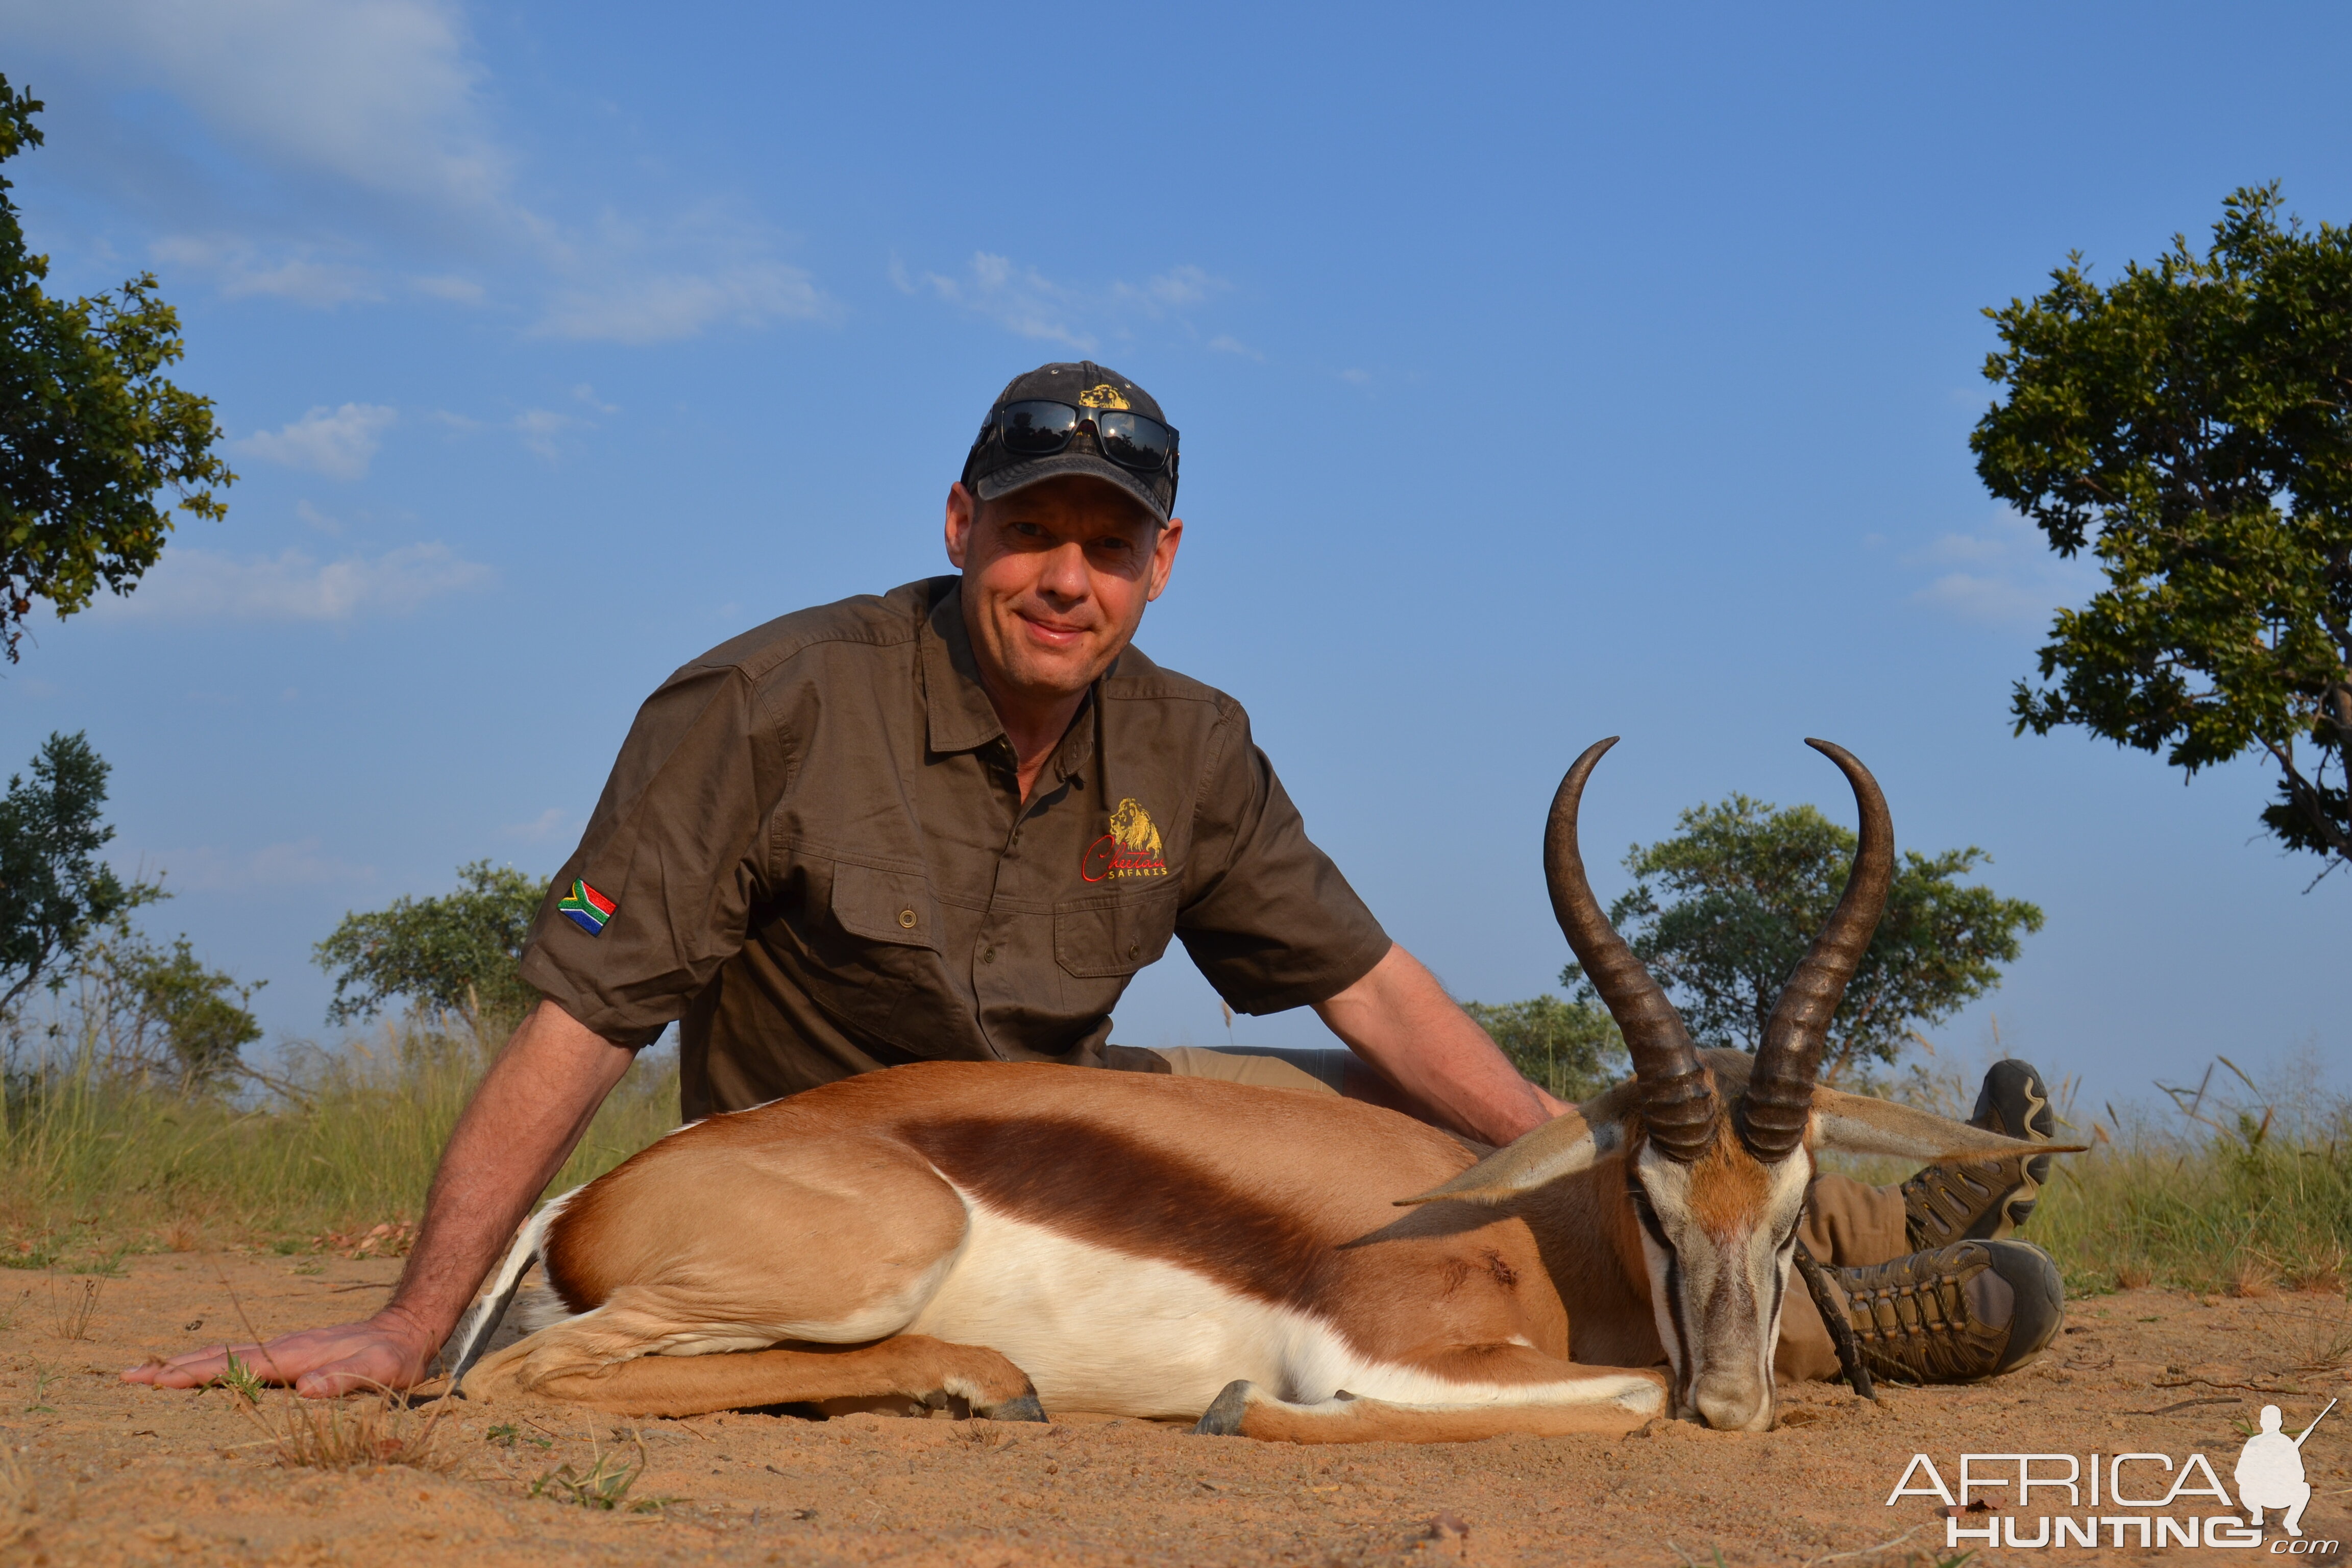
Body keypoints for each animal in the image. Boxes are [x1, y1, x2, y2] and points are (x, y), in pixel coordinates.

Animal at [449, 743, 2070, 1438]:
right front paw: (1243, 1411)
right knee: (526, 1380)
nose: (1736, 1405)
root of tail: (580, 1202)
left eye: (1792, 1216)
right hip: (879, 1250)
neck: (1538, 1243)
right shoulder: (1385, 1350)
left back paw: (971, 1382)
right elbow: (1620, 1396)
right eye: (1654, 1205)